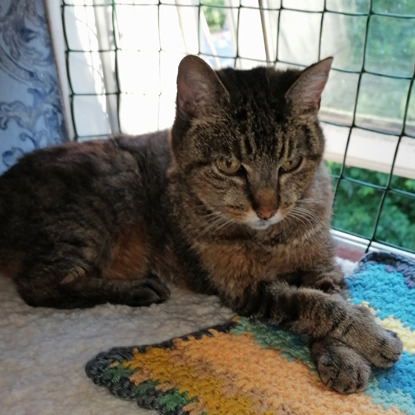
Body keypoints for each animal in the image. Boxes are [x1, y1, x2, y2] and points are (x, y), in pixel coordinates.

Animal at [0, 55, 404, 394]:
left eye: (291, 163)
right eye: (229, 165)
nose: (267, 209)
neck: (271, 237)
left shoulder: (322, 265)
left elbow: (336, 297)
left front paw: (345, 355)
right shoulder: (245, 289)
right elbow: (318, 305)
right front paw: (376, 338)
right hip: (92, 212)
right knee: (39, 286)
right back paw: (136, 288)